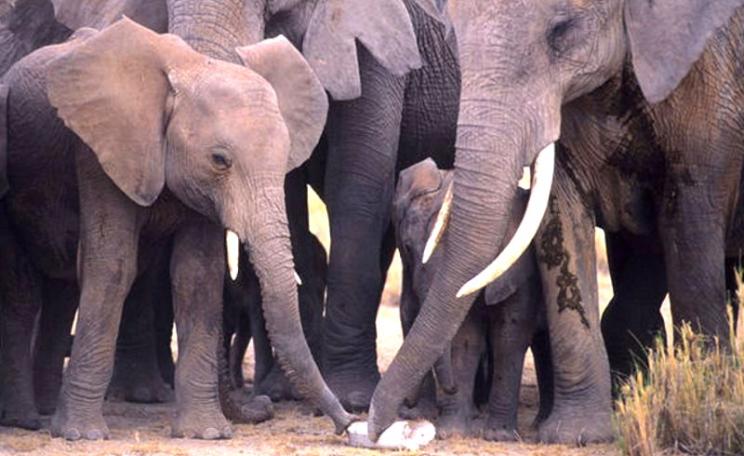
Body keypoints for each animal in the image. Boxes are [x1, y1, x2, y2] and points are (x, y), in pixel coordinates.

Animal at [0, 18, 353, 440]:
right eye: (219, 160)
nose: (348, 424)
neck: (190, 67)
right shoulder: (101, 153)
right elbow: (113, 267)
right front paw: (83, 436)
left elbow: (196, 275)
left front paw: (206, 434)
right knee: (23, 294)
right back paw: (25, 419)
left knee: (61, 291)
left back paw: (44, 410)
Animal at [393, 159, 553, 441]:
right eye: (408, 248)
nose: (407, 407)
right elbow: (465, 336)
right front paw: (452, 431)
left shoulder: (522, 272)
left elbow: (509, 336)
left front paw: (498, 436)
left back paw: (538, 424)